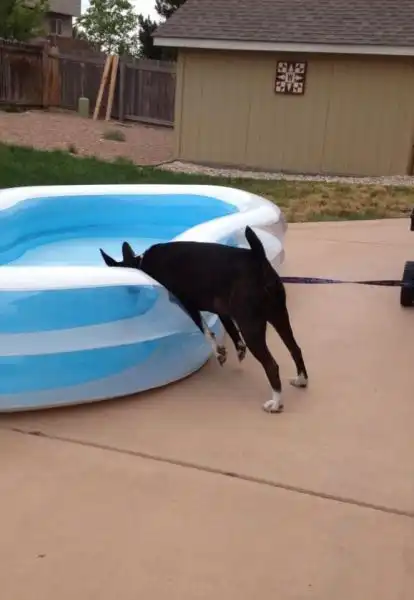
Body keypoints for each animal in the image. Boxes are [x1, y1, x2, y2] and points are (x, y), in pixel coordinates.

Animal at [100, 226, 308, 413]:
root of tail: (258, 261)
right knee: (295, 349)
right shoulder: (223, 310)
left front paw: (219, 352)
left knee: (271, 365)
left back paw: (276, 402)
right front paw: (237, 349)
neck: (142, 263)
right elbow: (230, 329)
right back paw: (301, 379)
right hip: (279, 316)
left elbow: (206, 331)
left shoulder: (188, 304)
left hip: (252, 326)